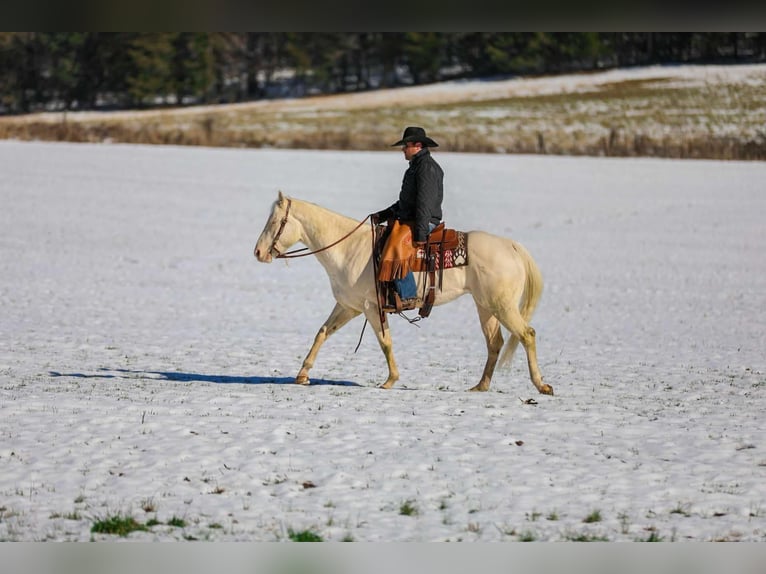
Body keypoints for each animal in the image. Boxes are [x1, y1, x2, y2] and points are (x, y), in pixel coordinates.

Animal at [253, 191, 552, 395]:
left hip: (502, 306)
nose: (257, 252)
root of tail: (511, 246)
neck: (349, 249)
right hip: (485, 307)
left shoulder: (371, 307)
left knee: (527, 335)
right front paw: (302, 375)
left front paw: (390, 380)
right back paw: (480, 386)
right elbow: (323, 332)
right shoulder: (349, 307)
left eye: (275, 222)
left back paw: (541, 385)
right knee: (495, 343)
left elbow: (385, 342)